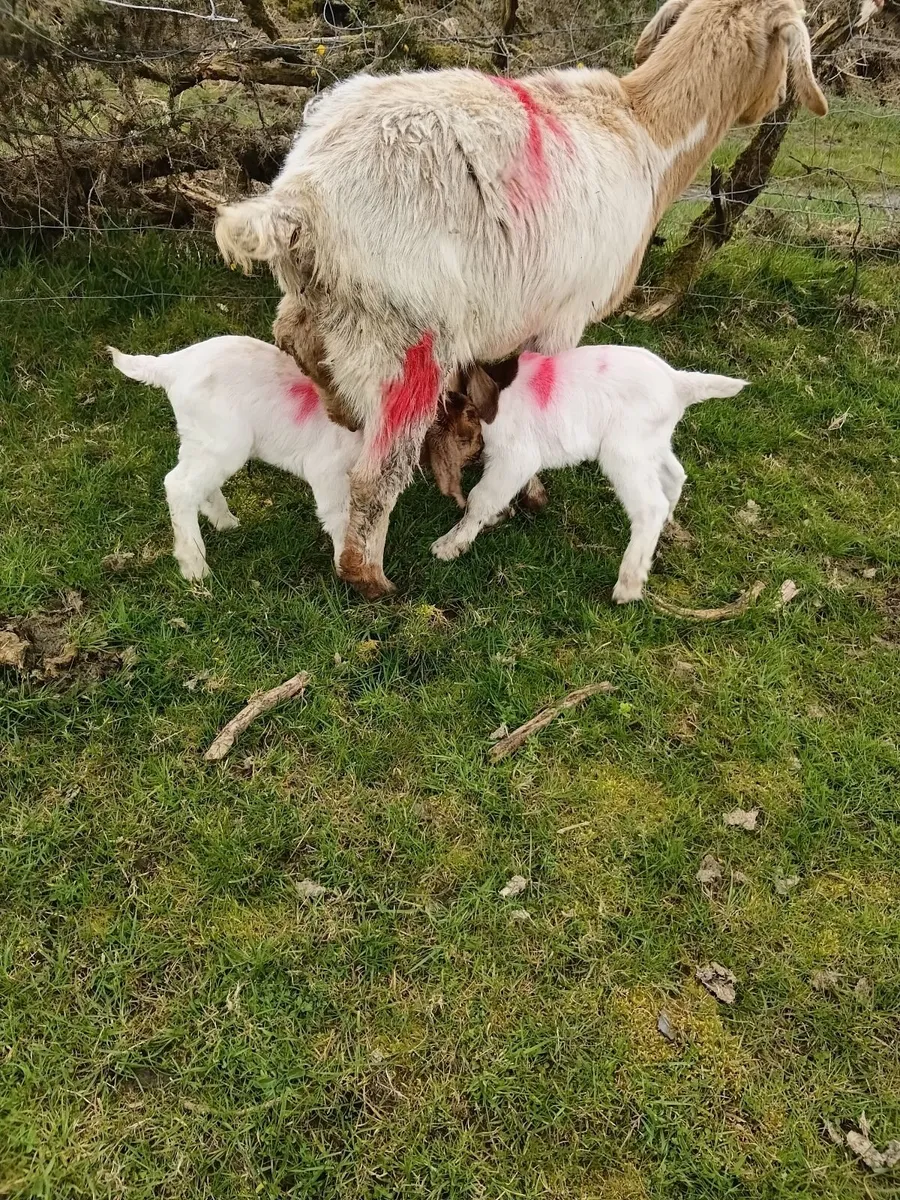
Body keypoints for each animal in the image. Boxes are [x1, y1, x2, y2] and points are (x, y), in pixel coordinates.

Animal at [108, 337, 361, 581]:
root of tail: (172, 364)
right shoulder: (328, 469)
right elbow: (339, 516)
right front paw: (347, 568)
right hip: (224, 442)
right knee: (179, 486)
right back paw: (195, 568)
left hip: (201, 440)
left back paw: (223, 520)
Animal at [431, 347, 747, 602]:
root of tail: (677, 382)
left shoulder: (515, 457)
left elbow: (481, 497)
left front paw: (451, 544)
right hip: (651, 443)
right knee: (675, 475)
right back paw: (666, 528)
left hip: (624, 452)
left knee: (650, 507)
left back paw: (629, 584)